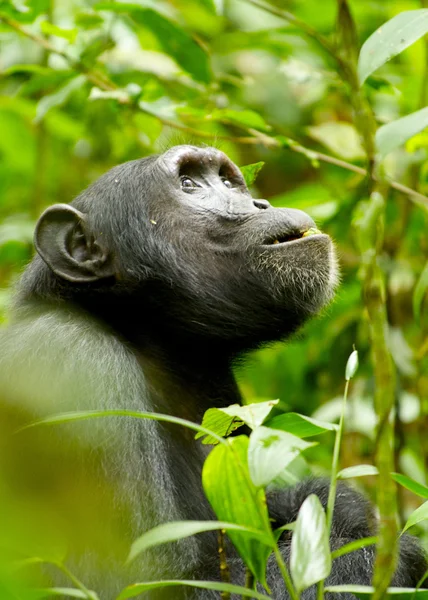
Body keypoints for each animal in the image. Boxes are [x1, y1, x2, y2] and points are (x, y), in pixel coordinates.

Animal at [0, 146, 426, 600]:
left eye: (226, 181)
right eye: (189, 184)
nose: (259, 203)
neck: (146, 337)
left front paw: (334, 501)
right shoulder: (74, 365)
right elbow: (148, 581)